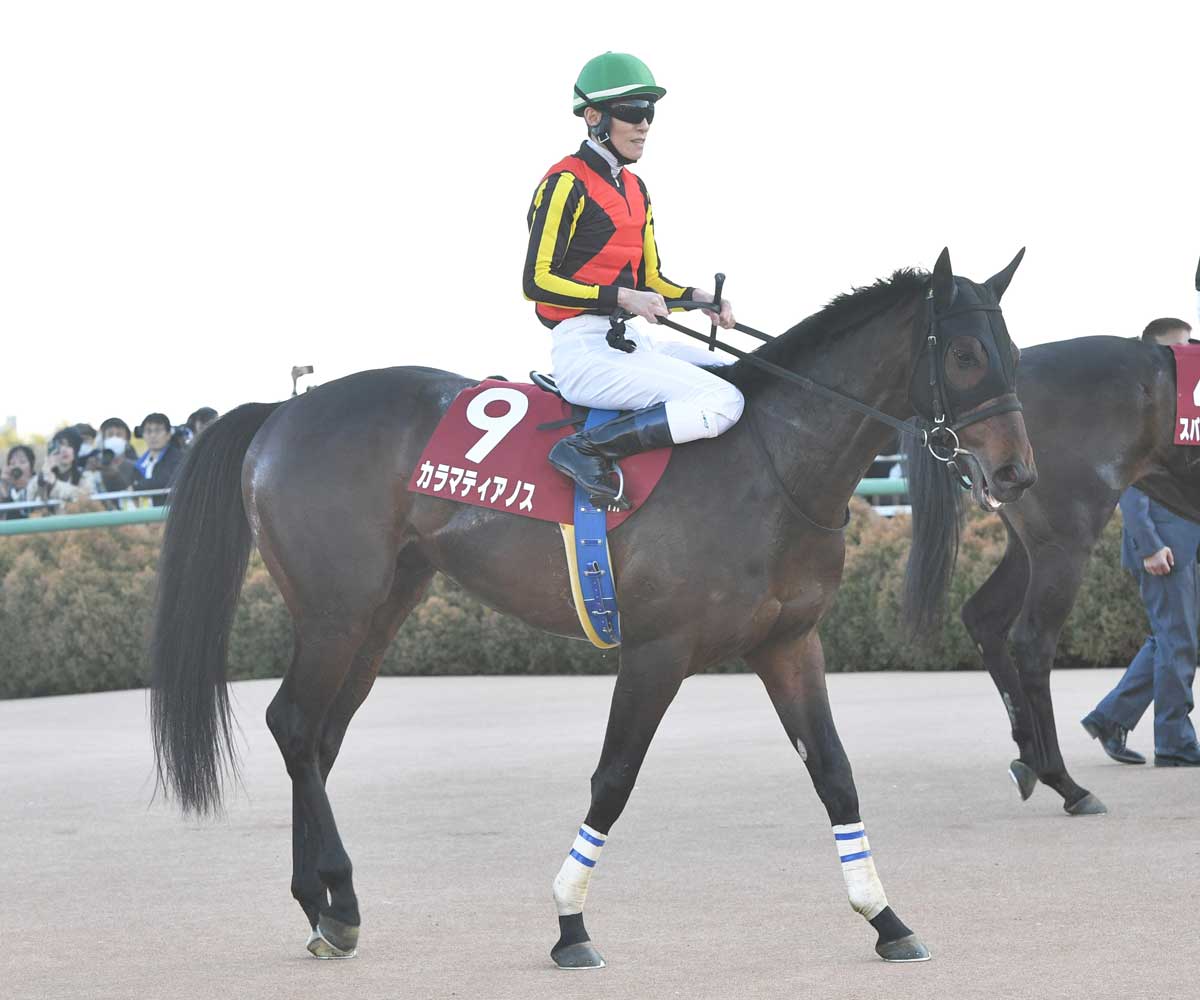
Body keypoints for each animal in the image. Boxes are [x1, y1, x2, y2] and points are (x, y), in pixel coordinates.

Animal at [150, 248, 1036, 968]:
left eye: (1014, 353)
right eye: (964, 354)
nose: (1017, 474)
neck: (767, 464)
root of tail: (283, 410)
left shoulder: (790, 643)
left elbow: (835, 774)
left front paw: (886, 918)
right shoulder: (657, 651)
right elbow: (614, 779)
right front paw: (570, 925)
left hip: (382, 610)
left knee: (320, 738)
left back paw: (322, 906)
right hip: (336, 610)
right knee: (296, 724)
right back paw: (336, 898)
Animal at [955, 335, 1200, 815]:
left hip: (1029, 544)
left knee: (984, 618)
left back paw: (1028, 757)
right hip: (1064, 543)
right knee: (1032, 643)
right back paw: (1066, 783)